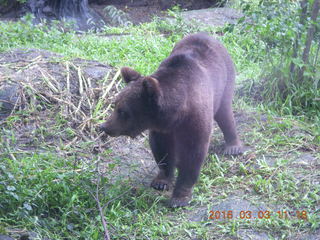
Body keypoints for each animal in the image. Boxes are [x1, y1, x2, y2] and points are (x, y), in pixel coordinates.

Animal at [101, 32, 244, 207]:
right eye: (114, 104)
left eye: (123, 111)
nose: (104, 126)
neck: (176, 113)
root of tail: (208, 36)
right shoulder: (161, 128)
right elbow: (162, 148)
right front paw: (161, 181)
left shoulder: (195, 119)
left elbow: (193, 153)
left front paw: (179, 197)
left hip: (225, 80)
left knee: (225, 113)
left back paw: (233, 146)